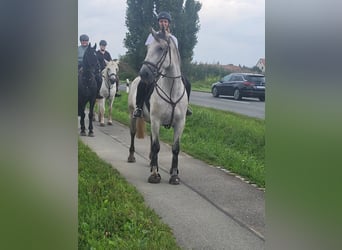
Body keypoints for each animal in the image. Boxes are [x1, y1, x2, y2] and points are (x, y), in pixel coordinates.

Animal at [127, 28, 188, 185]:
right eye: (148, 48)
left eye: (161, 48)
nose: (144, 73)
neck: (171, 91)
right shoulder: (156, 120)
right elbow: (156, 146)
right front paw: (154, 174)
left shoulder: (180, 123)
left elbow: (175, 148)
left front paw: (174, 175)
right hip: (133, 115)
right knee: (133, 133)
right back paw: (132, 156)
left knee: (151, 138)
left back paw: (150, 161)